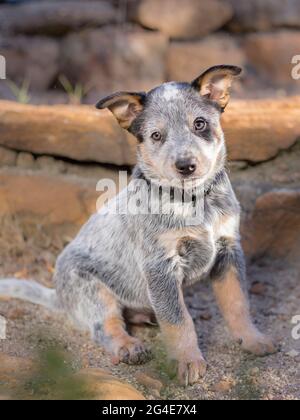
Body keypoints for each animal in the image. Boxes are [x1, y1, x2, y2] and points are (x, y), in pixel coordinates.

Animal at [0, 65, 276, 384]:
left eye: (200, 124)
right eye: (156, 135)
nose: (186, 166)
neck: (196, 202)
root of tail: (58, 296)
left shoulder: (228, 250)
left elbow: (237, 303)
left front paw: (253, 339)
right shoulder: (160, 265)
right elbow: (179, 320)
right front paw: (188, 361)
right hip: (92, 290)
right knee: (105, 325)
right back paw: (129, 346)